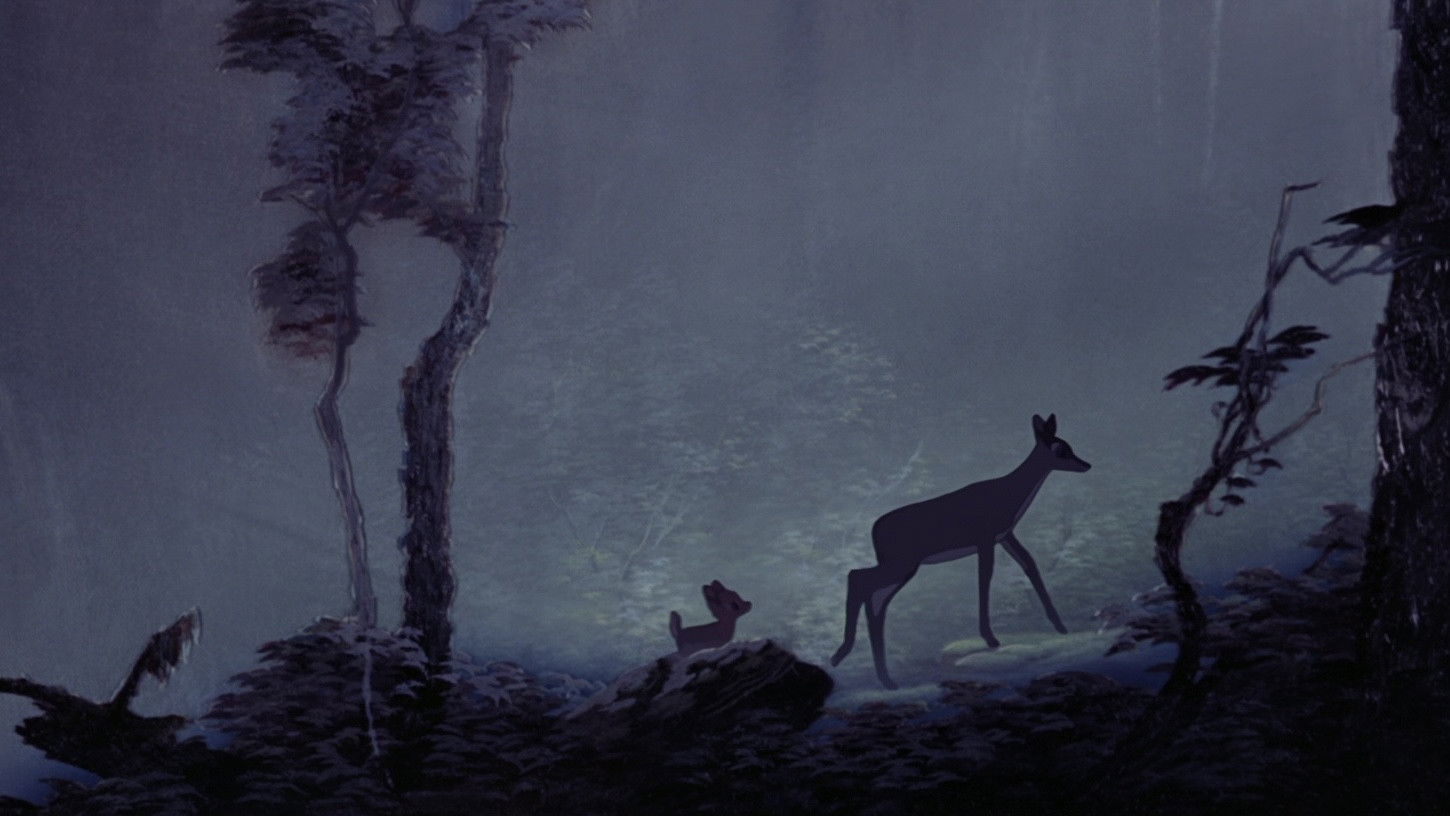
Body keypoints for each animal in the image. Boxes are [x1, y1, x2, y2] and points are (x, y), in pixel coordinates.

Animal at [830, 414, 1090, 689]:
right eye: (1060, 449)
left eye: (1068, 444)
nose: (1086, 465)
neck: (1010, 496)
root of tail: (874, 530)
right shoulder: (985, 537)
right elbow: (986, 576)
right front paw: (990, 637)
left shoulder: (1005, 535)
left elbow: (1029, 564)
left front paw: (1060, 626)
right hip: (902, 563)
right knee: (858, 578)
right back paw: (852, 661)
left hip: (900, 565)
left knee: (874, 597)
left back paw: (876, 674)